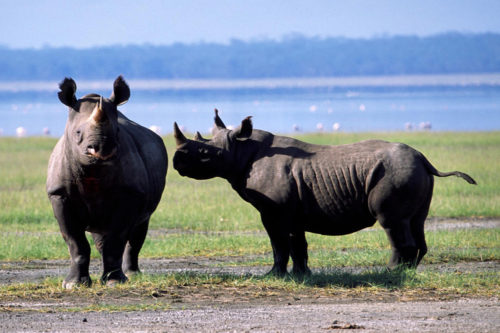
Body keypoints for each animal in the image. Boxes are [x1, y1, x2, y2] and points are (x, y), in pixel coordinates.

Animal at [47, 76, 168, 286]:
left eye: (118, 131)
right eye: (77, 133)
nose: (102, 148)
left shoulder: (130, 195)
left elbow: (117, 240)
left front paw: (115, 282)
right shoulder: (59, 194)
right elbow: (75, 242)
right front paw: (74, 284)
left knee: (139, 228)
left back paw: (133, 275)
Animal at [174, 111, 478, 274]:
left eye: (206, 153)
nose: (177, 161)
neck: (241, 149)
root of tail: (424, 158)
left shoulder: (273, 211)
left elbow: (278, 242)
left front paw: (274, 275)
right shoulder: (291, 210)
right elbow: (297, 243)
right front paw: (302, 275)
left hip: (396, 172)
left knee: (392, 222)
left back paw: (391, 271)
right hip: (412, 170)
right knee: (416, 221)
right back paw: (409, 271)